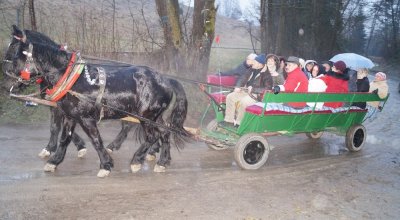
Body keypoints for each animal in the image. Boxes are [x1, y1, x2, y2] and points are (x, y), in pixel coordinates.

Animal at [3, 29, 191, 177]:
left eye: (14, 56)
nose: (5, 85)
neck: (71, 79)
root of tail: (166, 79)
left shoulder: (85, 118)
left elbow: (95, 140)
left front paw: (105, 165)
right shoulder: (70, 116)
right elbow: (64, 138)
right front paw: (54, 161)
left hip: (146, 116)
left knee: (152, 136)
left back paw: (137, 160)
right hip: (154, 116)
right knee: (164, 133)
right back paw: (162, 162)